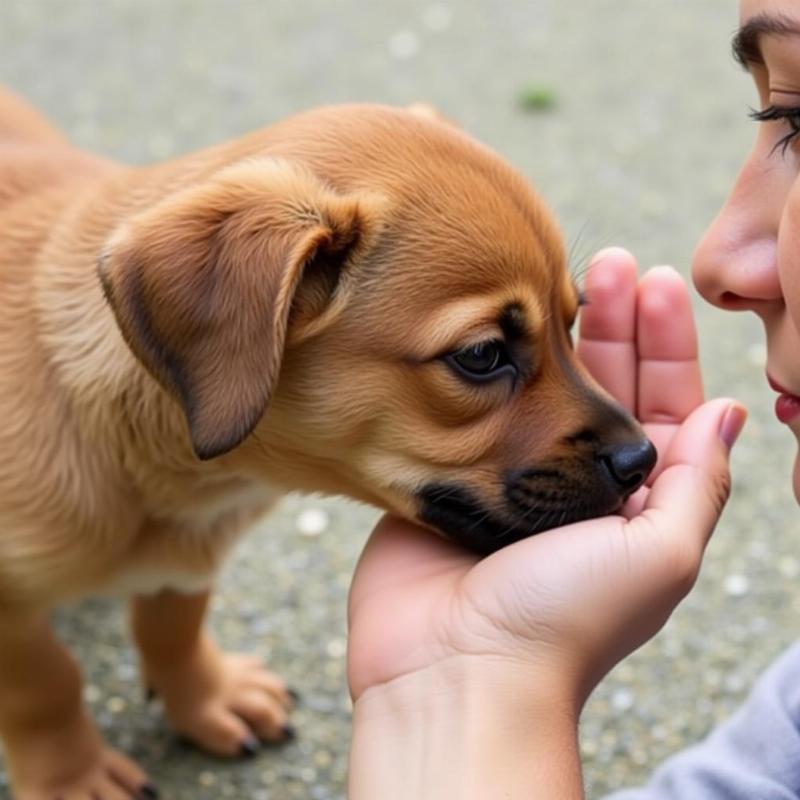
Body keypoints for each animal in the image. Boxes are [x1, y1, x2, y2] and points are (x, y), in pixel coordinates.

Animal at [0, 89, 652, 800]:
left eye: (573, 320)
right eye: (482, 355)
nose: (642, 461)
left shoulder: (189, 557)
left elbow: (172, 623)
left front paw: (205, 697)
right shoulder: (14, 610)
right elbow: (47, 685)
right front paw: (72, 776)